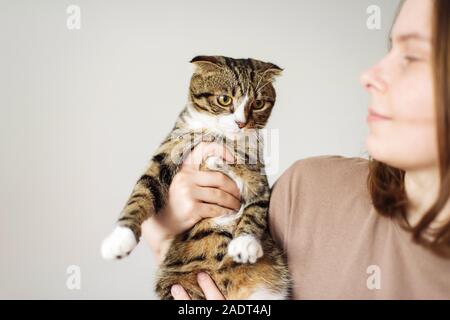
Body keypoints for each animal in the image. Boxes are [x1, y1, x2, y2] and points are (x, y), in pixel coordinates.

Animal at [101, 55, 292, 300]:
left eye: (258, 104)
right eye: (224, 99)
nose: (241, 123)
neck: (220, 137)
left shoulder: (255, 171)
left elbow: (257, 204)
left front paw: (245, 242)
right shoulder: (168, 151)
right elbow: (142, 191)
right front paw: (120, 238)